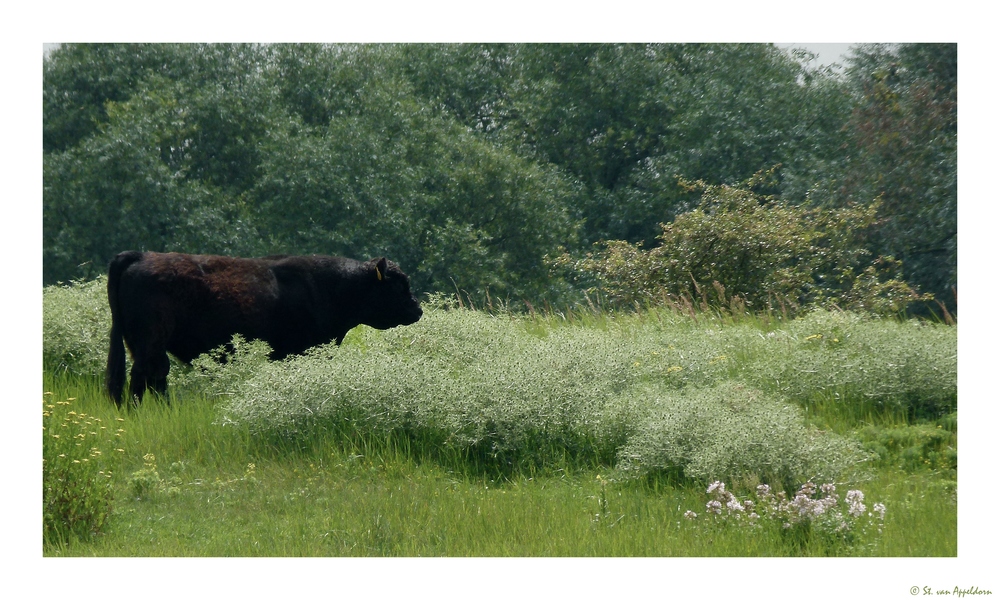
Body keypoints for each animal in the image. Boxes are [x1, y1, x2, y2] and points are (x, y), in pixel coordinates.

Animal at [105, 251, 422, 406]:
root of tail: (140, 256)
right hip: (150, 342)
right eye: (398, 284)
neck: (332, 286)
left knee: (157, 376)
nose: (417, 309)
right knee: (144, 376)